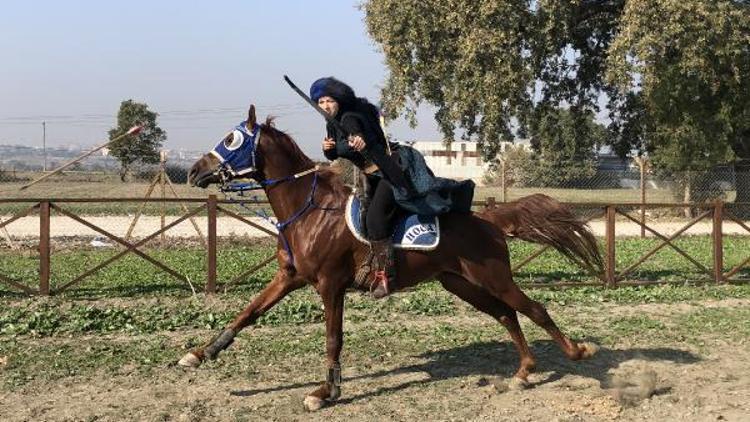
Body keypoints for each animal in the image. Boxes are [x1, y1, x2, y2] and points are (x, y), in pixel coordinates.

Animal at [182, 105, 604, 412]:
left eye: (232, 138)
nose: (194, 170)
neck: (309, 208)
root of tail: (488, 219)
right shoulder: (289, 277)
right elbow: (248, 312)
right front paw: (202, 353)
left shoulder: (331, 285)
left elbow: (333, 338)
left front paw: (324, 392)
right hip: (462, 283)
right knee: (505, 314)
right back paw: (523, 371)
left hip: (495, 277)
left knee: (534, 309)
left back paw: (576, 352)